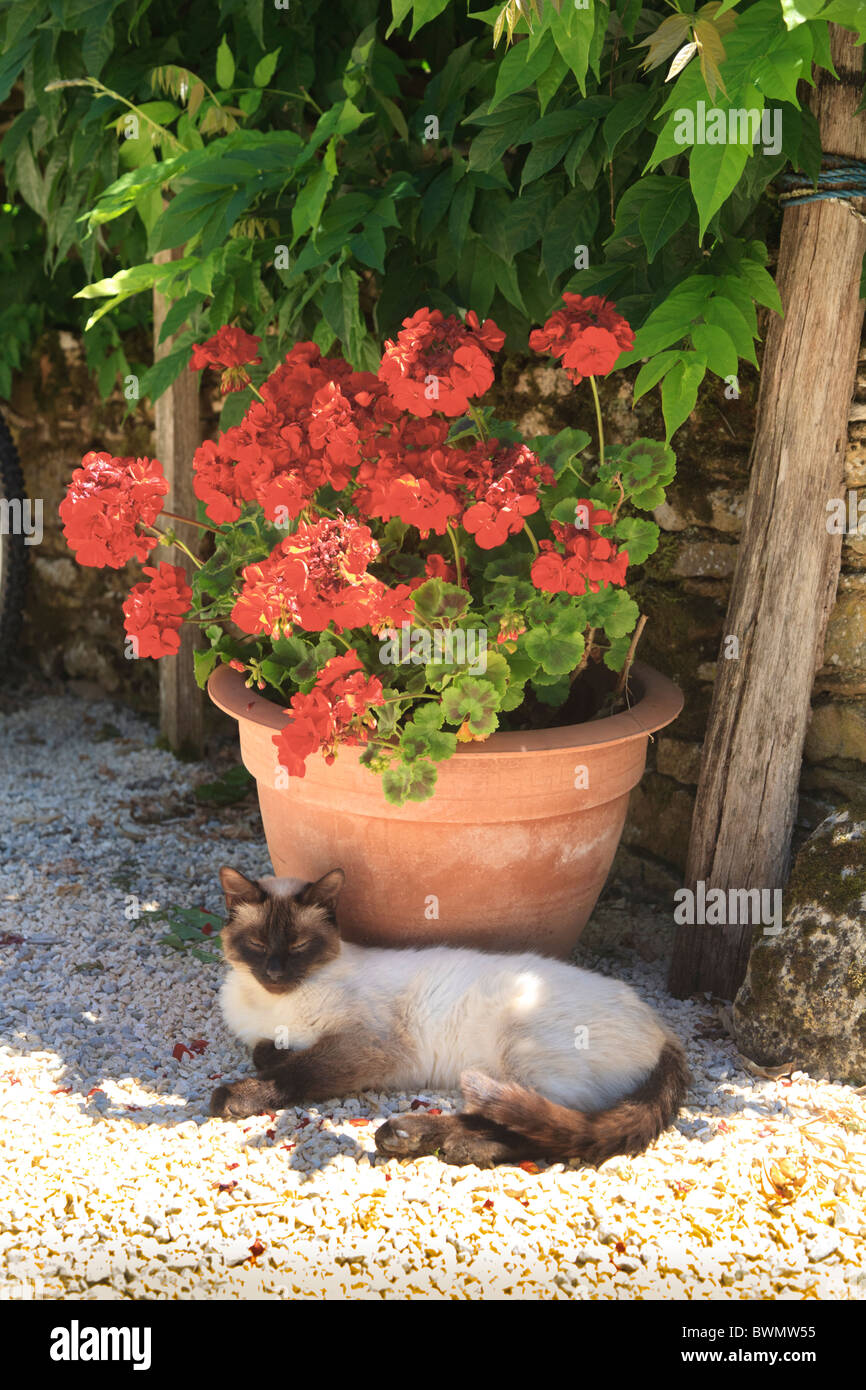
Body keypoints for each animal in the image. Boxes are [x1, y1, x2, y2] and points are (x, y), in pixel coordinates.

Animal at [214, 861, 695, 1167]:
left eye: (298, 947)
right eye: (257, 945)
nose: (275, 972)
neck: (274, 1002)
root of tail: (665, 1030)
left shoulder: (365, 1046)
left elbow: (296, 1072)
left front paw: (238, 1095)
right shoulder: (287, 1039)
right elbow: (270, 1052)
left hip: (520, 1048)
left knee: (548, 1124)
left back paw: (410, 1136)